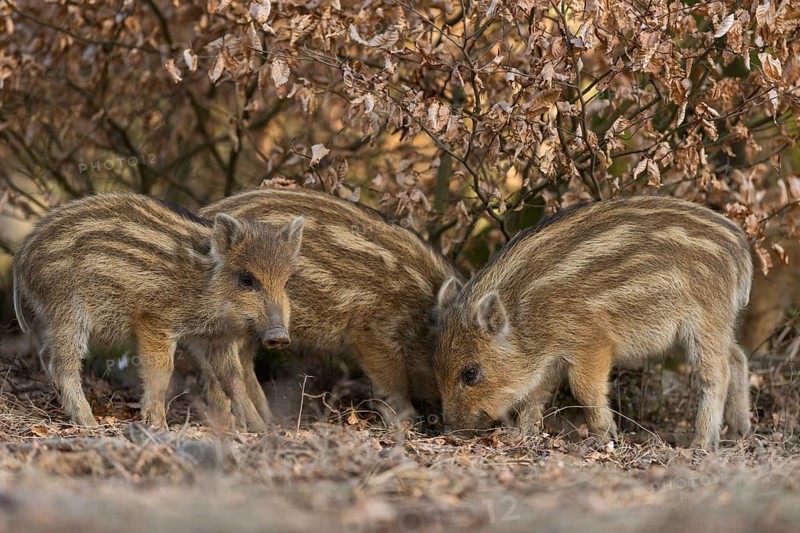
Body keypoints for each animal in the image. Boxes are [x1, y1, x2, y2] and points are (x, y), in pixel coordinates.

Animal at [12, 193, 303, 431]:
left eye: (286, 281)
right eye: (246, 279)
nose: (279, 336)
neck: (204, 283)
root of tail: (22, 254)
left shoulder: (216, 338)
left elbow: (233, 379)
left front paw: (261, 429)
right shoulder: (155, 322)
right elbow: (161, 374)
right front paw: (159, 426)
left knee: (46, 355)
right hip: (67, 310)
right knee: (63, 363)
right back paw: (89, 423)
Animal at [433, 196, 753, 450]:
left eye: (471, 373)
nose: (450, 431)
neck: (525, 314)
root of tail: (740, 248)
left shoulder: (591, 342)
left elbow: (583, 389)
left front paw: (606, 437)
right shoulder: (549, 360)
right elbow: (534, 397)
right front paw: (522, 435)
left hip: (706, 318)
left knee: (715, 375)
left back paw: (702, 444)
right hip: (718, 322)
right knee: (737, 357)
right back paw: (740, 432)